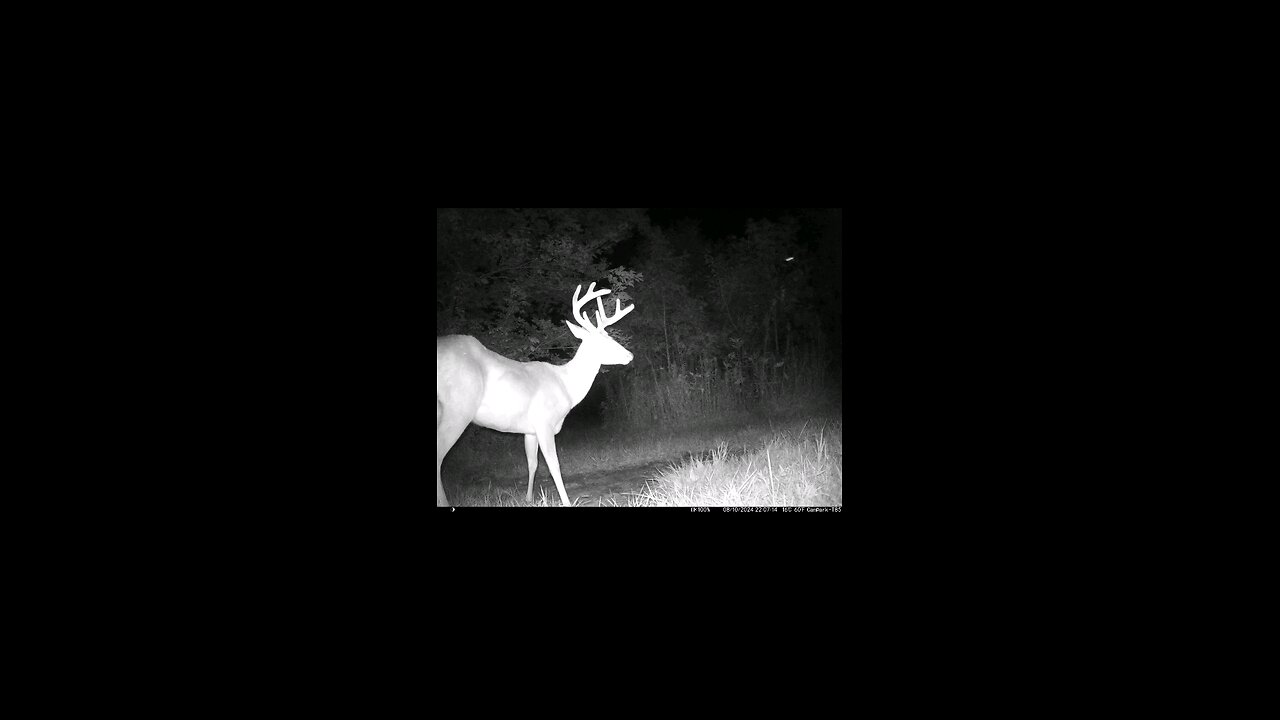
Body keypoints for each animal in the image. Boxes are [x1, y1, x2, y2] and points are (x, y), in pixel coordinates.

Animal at [436, 282, 635, 507]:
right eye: (603, 341)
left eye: (609, 337)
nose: (629, 355)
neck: (566, 385)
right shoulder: (544, 422)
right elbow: (554, 465)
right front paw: (566, 501)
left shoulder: (529, 431)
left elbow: (532, 463)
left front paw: (528, 498)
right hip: (458, 407)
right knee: (439, 455)